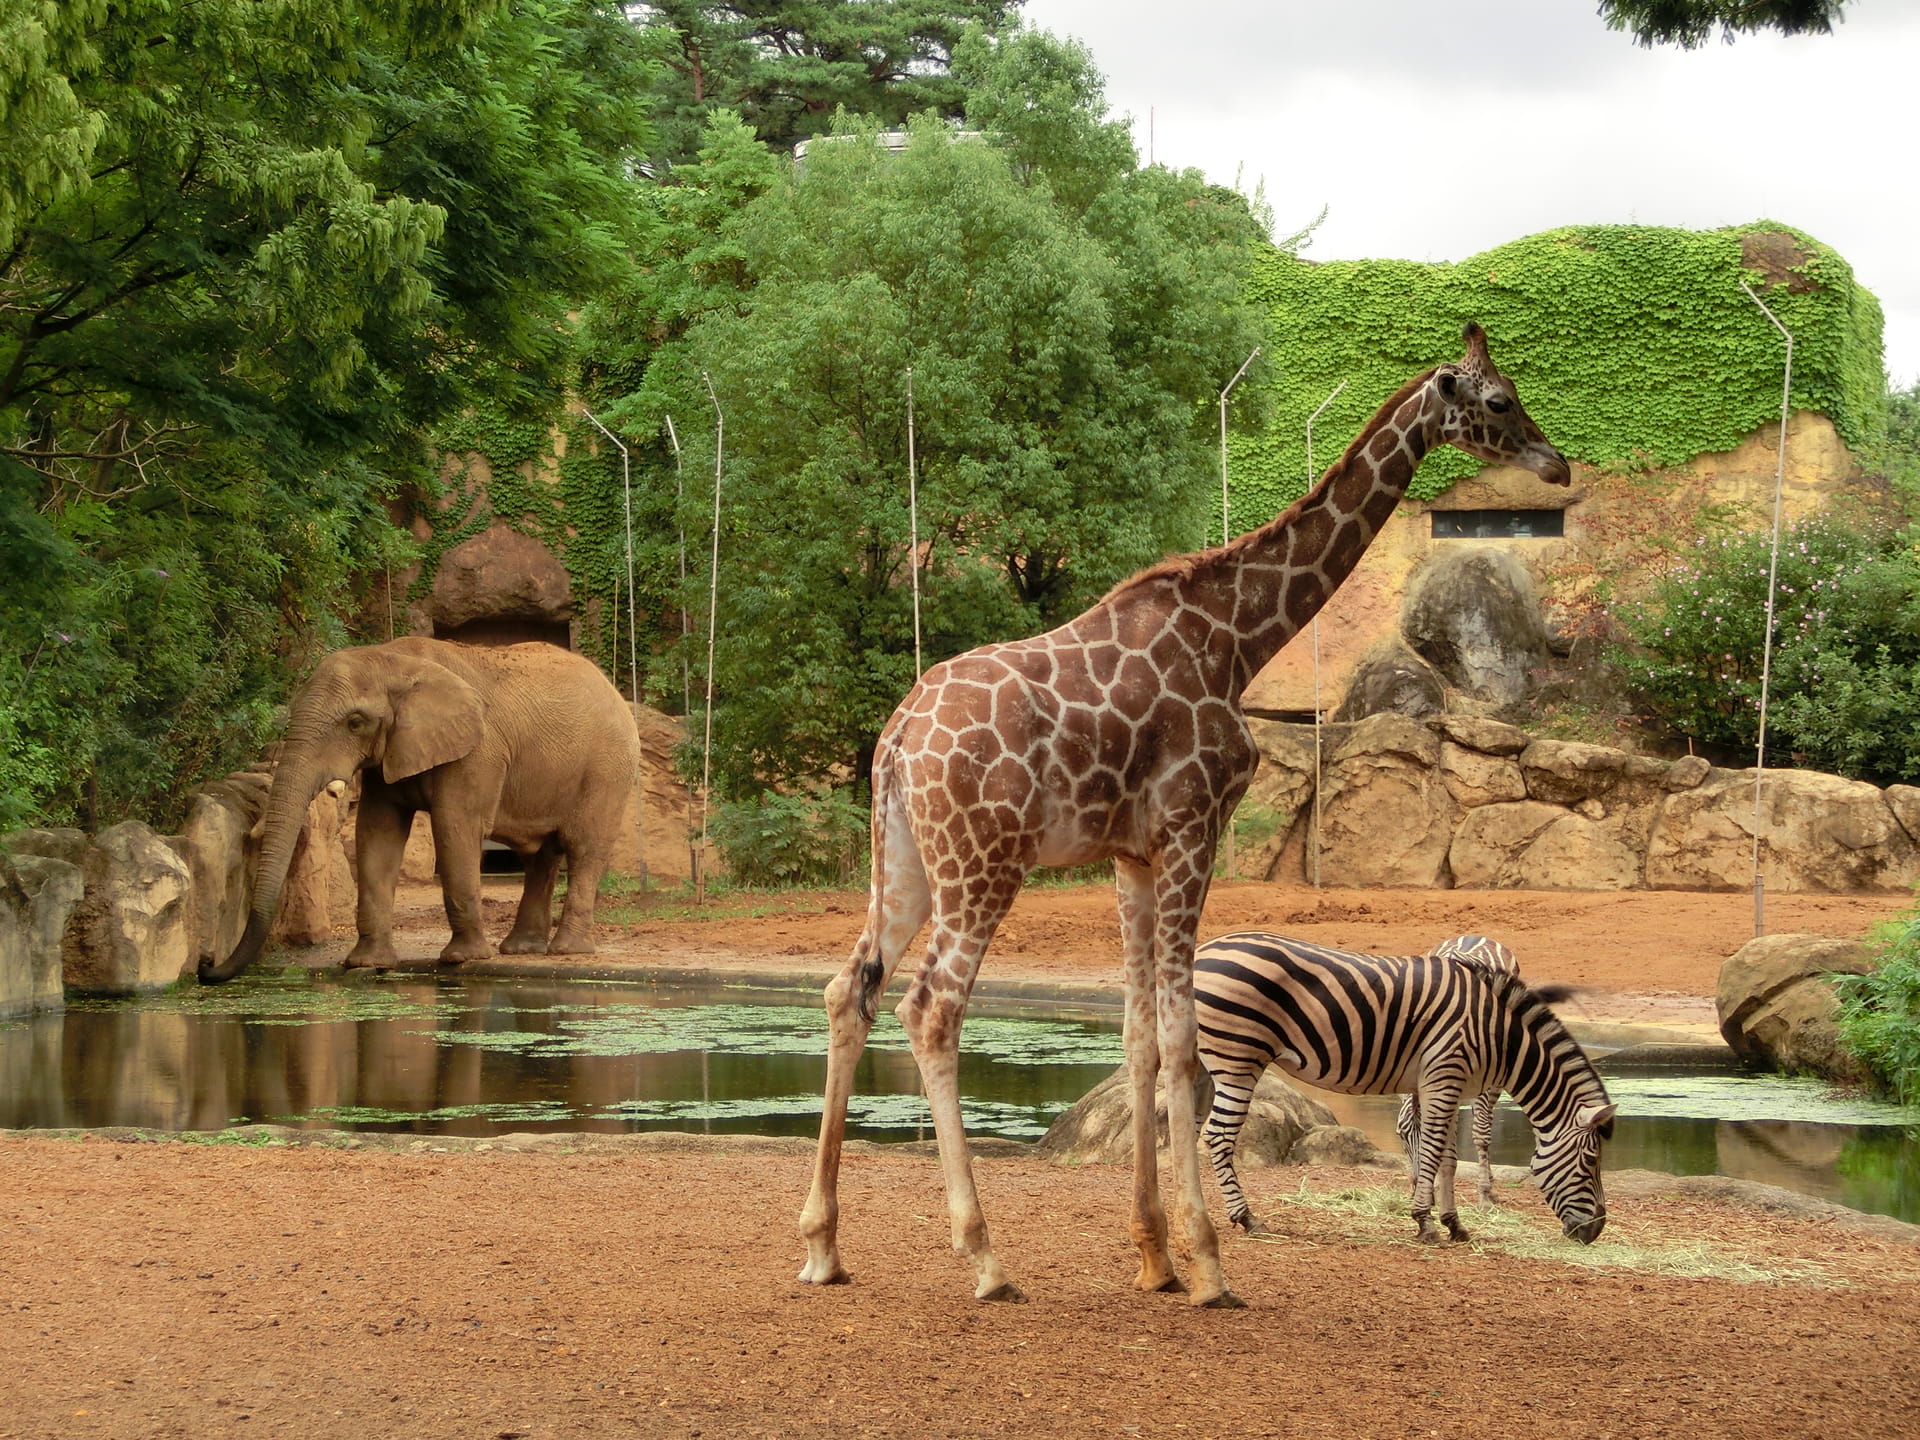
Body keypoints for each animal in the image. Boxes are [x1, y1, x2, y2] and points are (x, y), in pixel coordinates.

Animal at [199, 641, 641, 990]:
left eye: (355, 722)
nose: (205, 963)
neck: (393, 660)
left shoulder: (477, 751)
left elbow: (455, 827)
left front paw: (461, 959)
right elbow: (377, 834)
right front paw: (367, 964)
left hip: (607, 769)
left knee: (583, 848)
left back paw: (567, 950)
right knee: (539, 857)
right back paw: (522, 950)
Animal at [802, 324, 1566, 1305]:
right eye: (1501, 399)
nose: (1555, 465)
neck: (1238, 637)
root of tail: (898, 738)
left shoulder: (1132, 853)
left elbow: (1137, 1042)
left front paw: (1154, 1256)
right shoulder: (1191, 829)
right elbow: (1183, 1049)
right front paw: (1207, 1263)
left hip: (903, 859)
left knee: (848, 989)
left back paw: (823, 1244)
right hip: (983, 864)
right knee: (932, 1009)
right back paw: (985, 1258)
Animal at [1190, 936, 1612, 1251]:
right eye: (1591, 1160)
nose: (1596, 1231)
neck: (1498, 1032)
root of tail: (1202, 951)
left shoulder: (1444, 1083)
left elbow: (1447, 1158)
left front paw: (1454, 1223)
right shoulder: (1444, 1077)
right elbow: (1432, 1153)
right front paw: (1426, 1222)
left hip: (1200, 1061)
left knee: (1191, 1129)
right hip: (1238, 1058)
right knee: (1218, 1136)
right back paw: (1246, 1217)